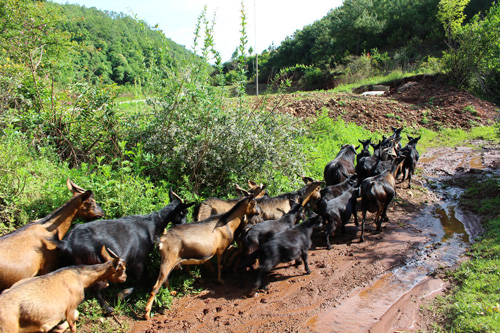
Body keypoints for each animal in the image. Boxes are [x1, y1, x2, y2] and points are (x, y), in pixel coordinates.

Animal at [57, 189, 193, 312]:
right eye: (183, 213)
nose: (185, 225)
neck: (153, 224)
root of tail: (66, 243)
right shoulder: (138, 260)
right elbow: (142, 280)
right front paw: (122, 294)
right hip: (93, 263)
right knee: (96, 288)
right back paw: (109, 309)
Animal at [143, 187, 264, 320]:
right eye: (254, 202)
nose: (259, 212)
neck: (227, 223)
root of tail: (161, 241)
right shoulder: (221, 248)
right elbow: (220, 265)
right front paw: (220, 280)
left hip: (169, 262)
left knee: (164, 280)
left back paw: (172, 292)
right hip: (168, 260)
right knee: (155, 286)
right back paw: (147, 313)